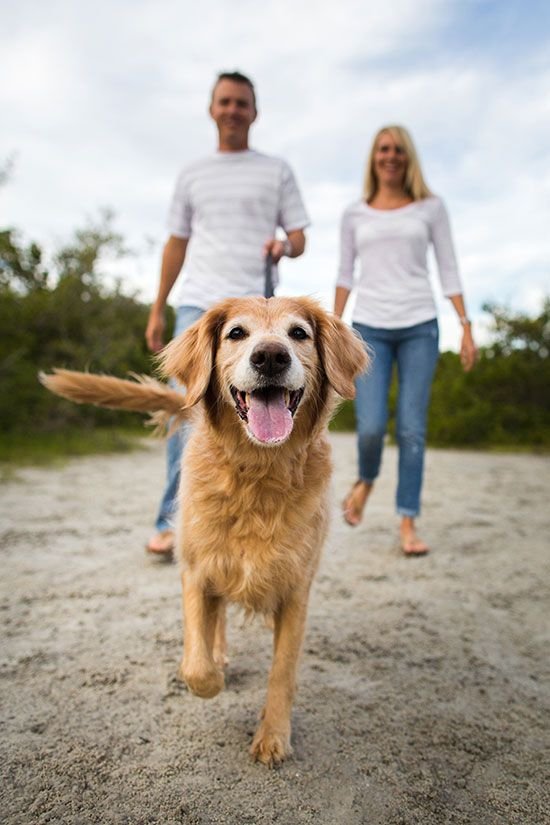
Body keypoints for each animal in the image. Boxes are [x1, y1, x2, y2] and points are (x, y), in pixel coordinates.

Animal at [41, 296, 368, 768]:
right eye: (236, 333)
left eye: (298, 334)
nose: (271, 356)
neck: (258, 472)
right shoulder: (197, 572)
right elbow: (196, 666)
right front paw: (211, 677)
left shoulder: (296, 590)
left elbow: (282, 672)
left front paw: (273, 736)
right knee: (214, 627)